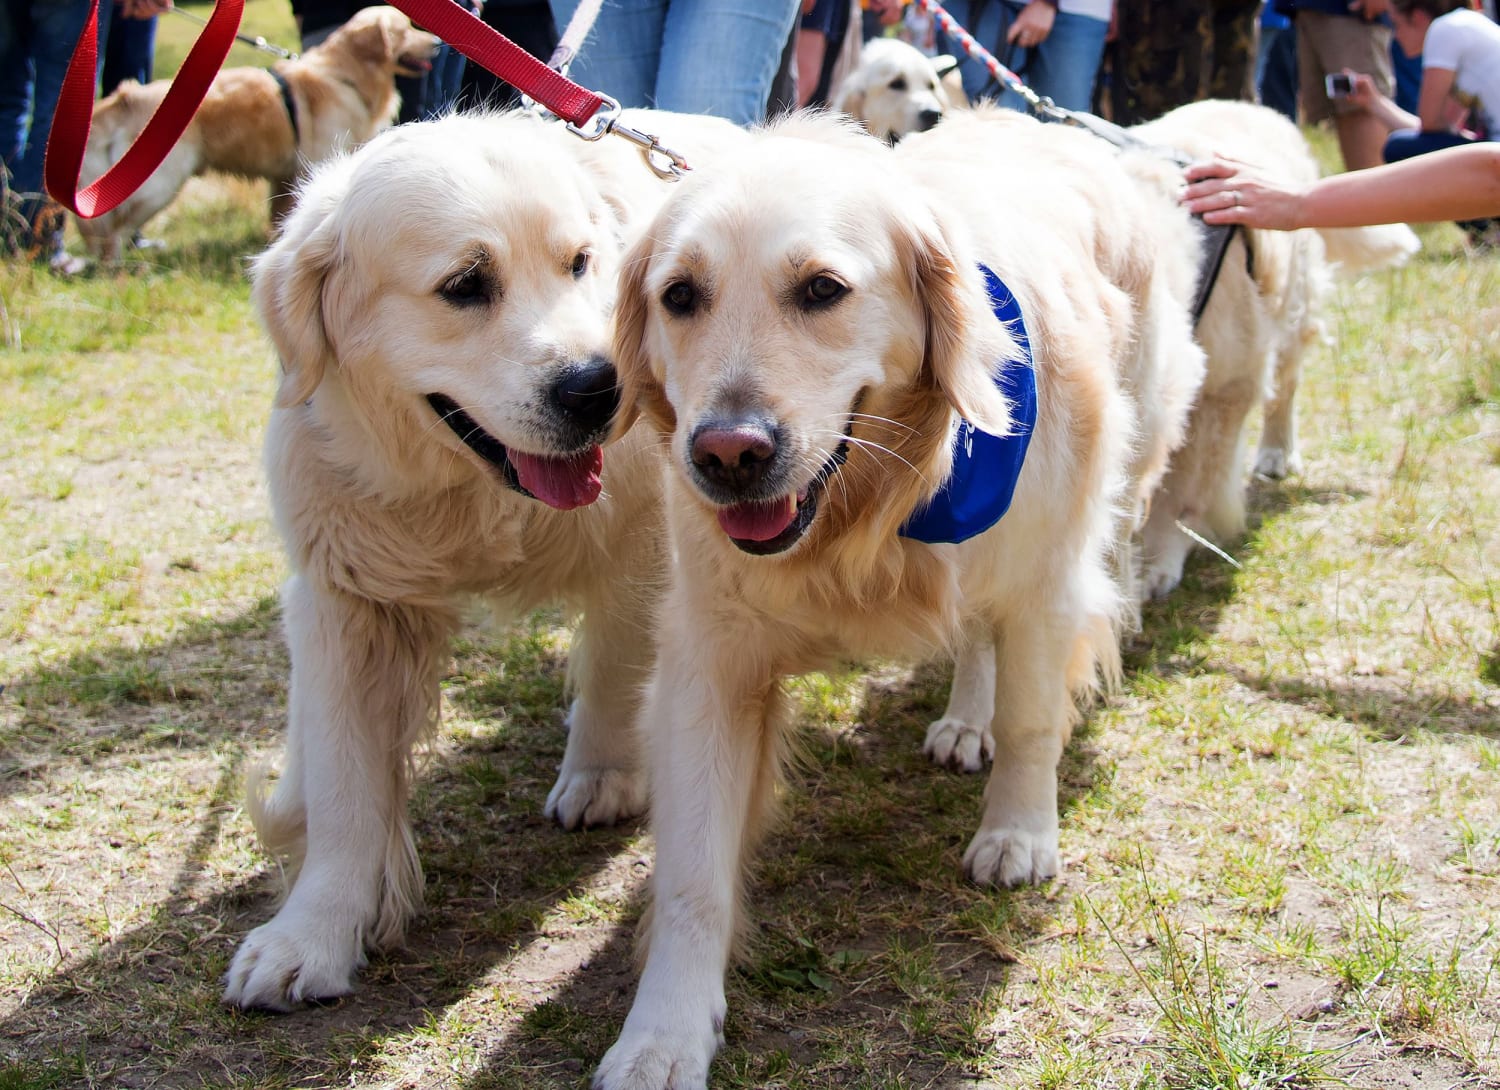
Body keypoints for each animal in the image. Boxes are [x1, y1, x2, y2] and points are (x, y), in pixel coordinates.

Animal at [76, 6, 438, 263]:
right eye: (405, 29)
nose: (436, 43)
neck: (345, 76)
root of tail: (129, 96)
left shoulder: (285, 177)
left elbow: (282, 220)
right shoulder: (316, 163)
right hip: (161, 181)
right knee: (112, 227)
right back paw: (116, 268)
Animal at [219, 106, 747, 1007]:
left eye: (580, 263)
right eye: (466, 283)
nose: (597, 387)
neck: (473, 492)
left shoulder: (643, 546)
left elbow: (616, 666)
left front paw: (601, 774)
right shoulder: (345, 597)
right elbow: (344, 785)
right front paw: (311, 933)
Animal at [591, 104, 1200, 1090]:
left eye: (822, 289)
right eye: (679, 296)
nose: (728, 454)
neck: (870, 514)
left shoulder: (1045, 581)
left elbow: (1034, 720)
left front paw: (1020, 833)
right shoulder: (709, 659)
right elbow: (691, 872)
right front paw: (662, 1036)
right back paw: (964, 718)